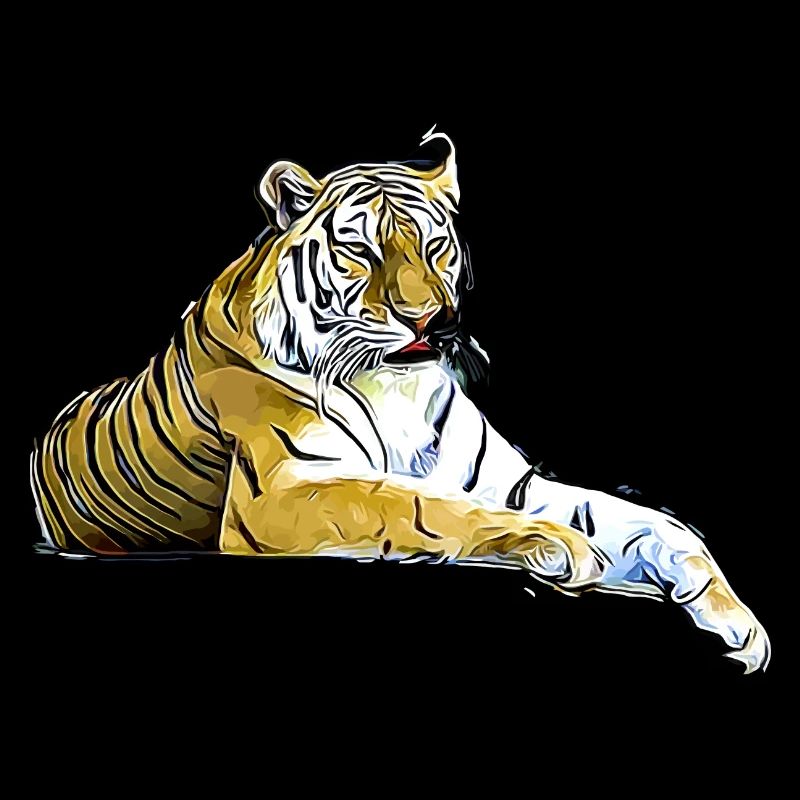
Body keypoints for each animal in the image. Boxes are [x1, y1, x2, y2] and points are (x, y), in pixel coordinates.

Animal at [30, 129, 769, 673]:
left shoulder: (514, 483)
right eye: (359, 249)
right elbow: (415, 503)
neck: (396, 386)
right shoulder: (281, 494)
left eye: (436, 245)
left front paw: (738, 623)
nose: (431, 322)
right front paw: (556, 547)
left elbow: (650, 521)